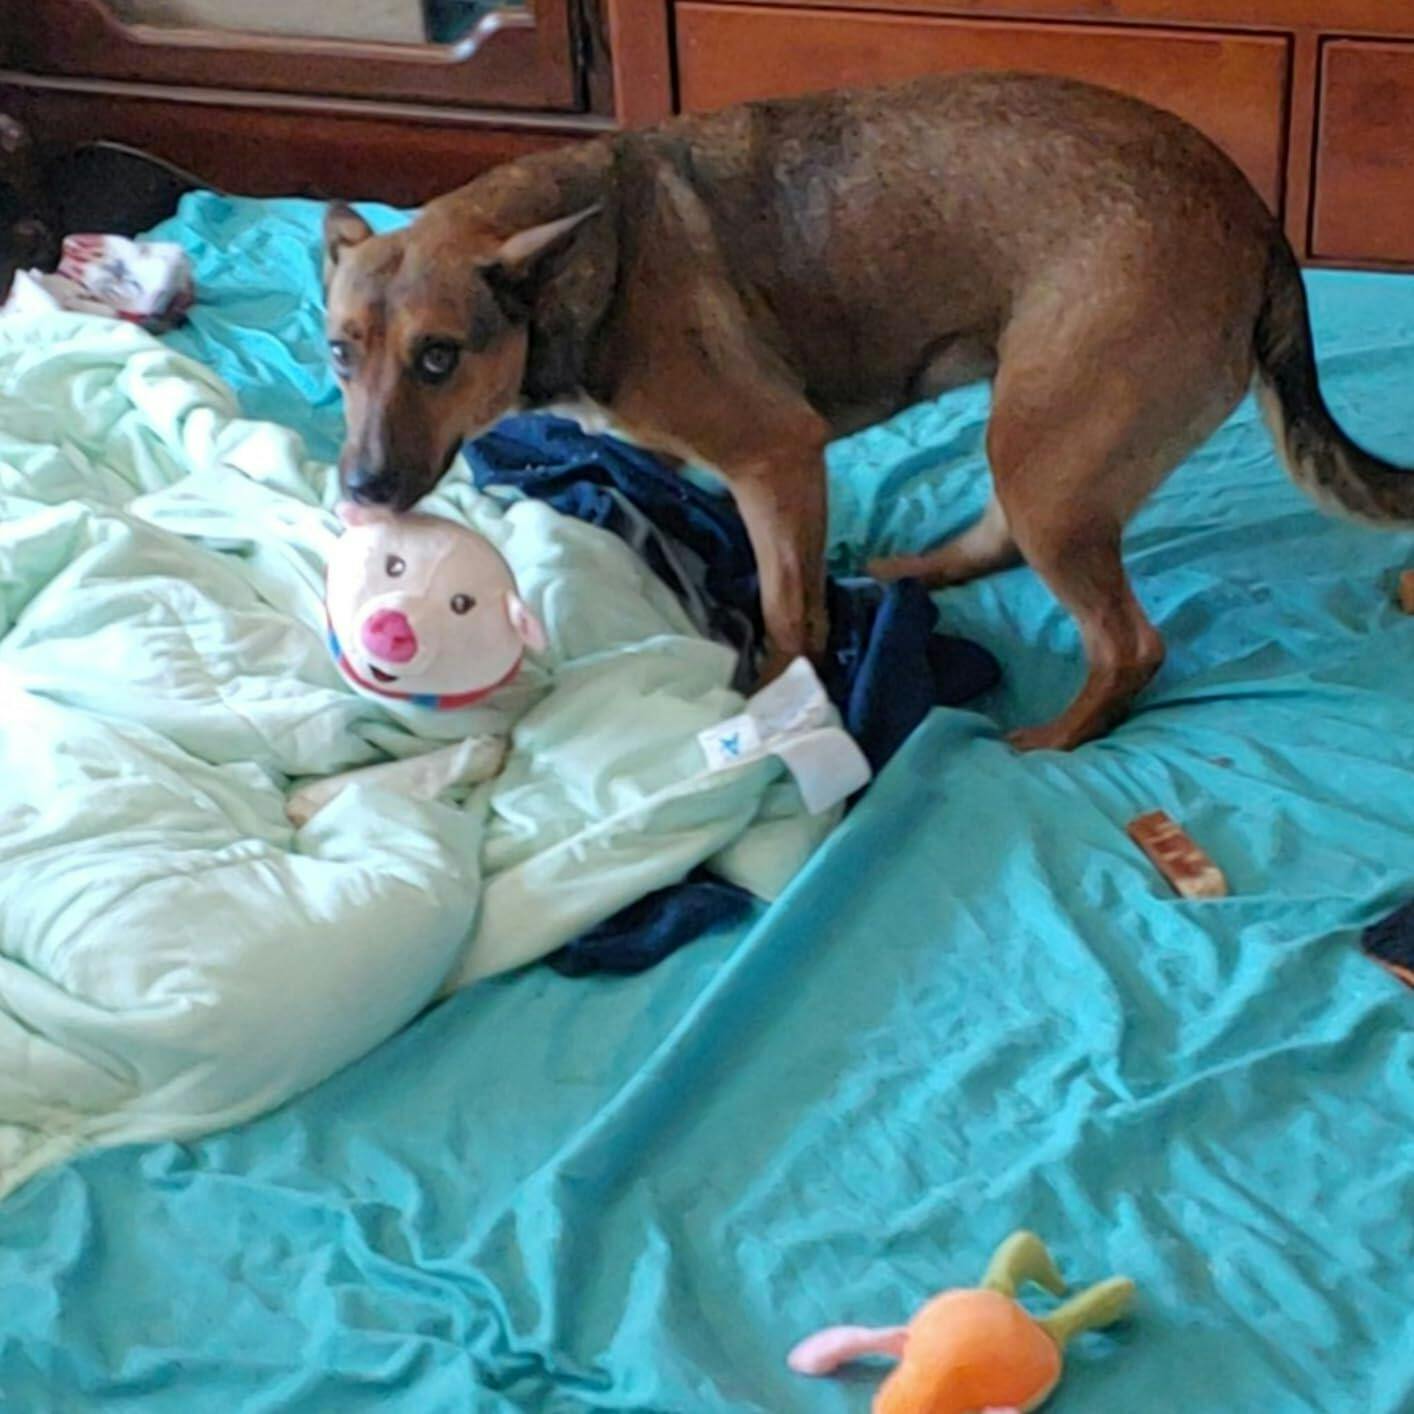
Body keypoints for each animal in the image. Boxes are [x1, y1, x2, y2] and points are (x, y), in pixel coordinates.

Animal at [322, 71, 1414, 751]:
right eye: (338, 352)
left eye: (438, 357)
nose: (362, 492)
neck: (590, 256)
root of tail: (1260, 226)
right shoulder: (673, 459)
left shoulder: (775, 457)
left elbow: (784, 611)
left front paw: (780, 701)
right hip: (1044, 437)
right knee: (1006, 539)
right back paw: (912, 574)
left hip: (1045, 443)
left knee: (1126, 643)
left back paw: (1053, 737)